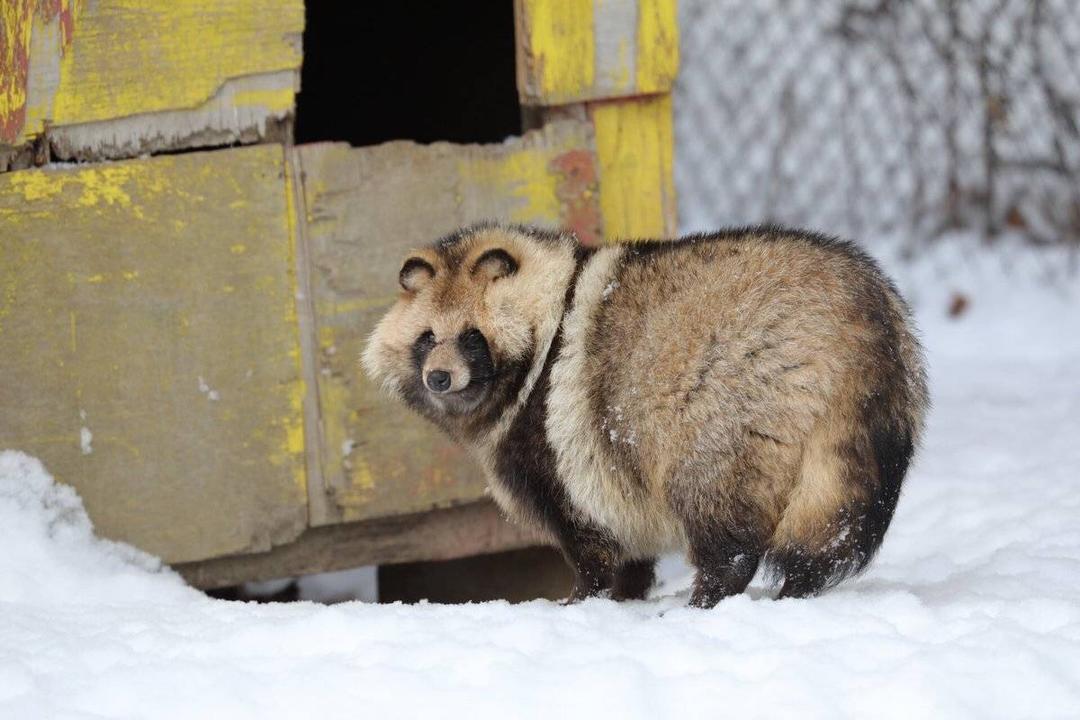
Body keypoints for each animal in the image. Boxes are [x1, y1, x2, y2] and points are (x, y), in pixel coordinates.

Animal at [362, 225, 928, 608]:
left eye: (470, 337)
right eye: (427, 338)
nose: (438, 378)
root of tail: (859, 314)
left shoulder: (555, 451)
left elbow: (590, 543)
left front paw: (584, 599)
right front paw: (626, 594)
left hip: (729, 417)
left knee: (726, 530)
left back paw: (710, 594)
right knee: (829, 529)